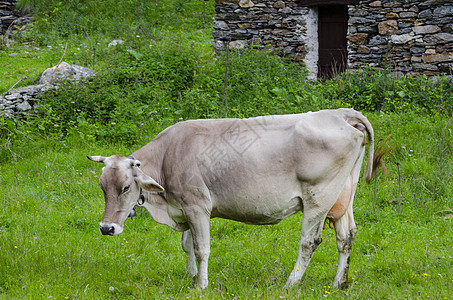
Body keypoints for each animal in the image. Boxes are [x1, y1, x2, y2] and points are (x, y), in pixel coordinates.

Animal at [86, 108, 376, 288]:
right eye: (102, 187)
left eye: (125, 187)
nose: (106, 228)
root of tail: (339, 113)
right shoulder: (185, 208)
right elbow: (186, 244)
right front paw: (190, 276)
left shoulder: (197, 206)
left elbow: (201, 248)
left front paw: (201, 285)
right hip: (343, 198)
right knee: (346, 237)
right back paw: (338, 283)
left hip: (319, 198)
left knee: (309, 241)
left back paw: (290, 283)